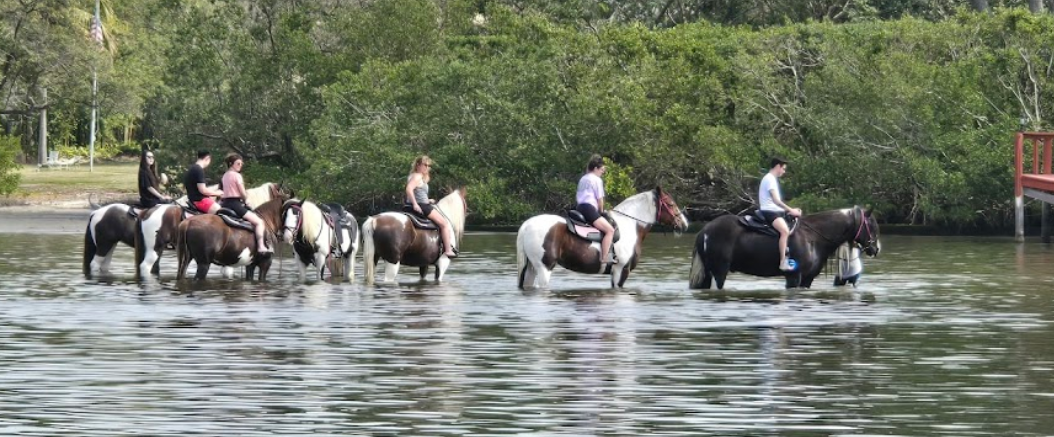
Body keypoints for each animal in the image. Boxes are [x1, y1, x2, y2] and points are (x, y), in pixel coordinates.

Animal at [514, 186, 687, 288]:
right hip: (544, 268)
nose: (684, 224)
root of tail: (527, 224)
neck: (630, 225)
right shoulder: (621, 270)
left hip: (531, 267)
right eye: (671, 204)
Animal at [691, 206, 881, 288]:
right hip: (719, 271)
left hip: (708, 272)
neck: (813, 237)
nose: (876, 248)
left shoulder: (807, 279)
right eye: (871, 225)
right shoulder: (794, 277)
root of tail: (704, 231)